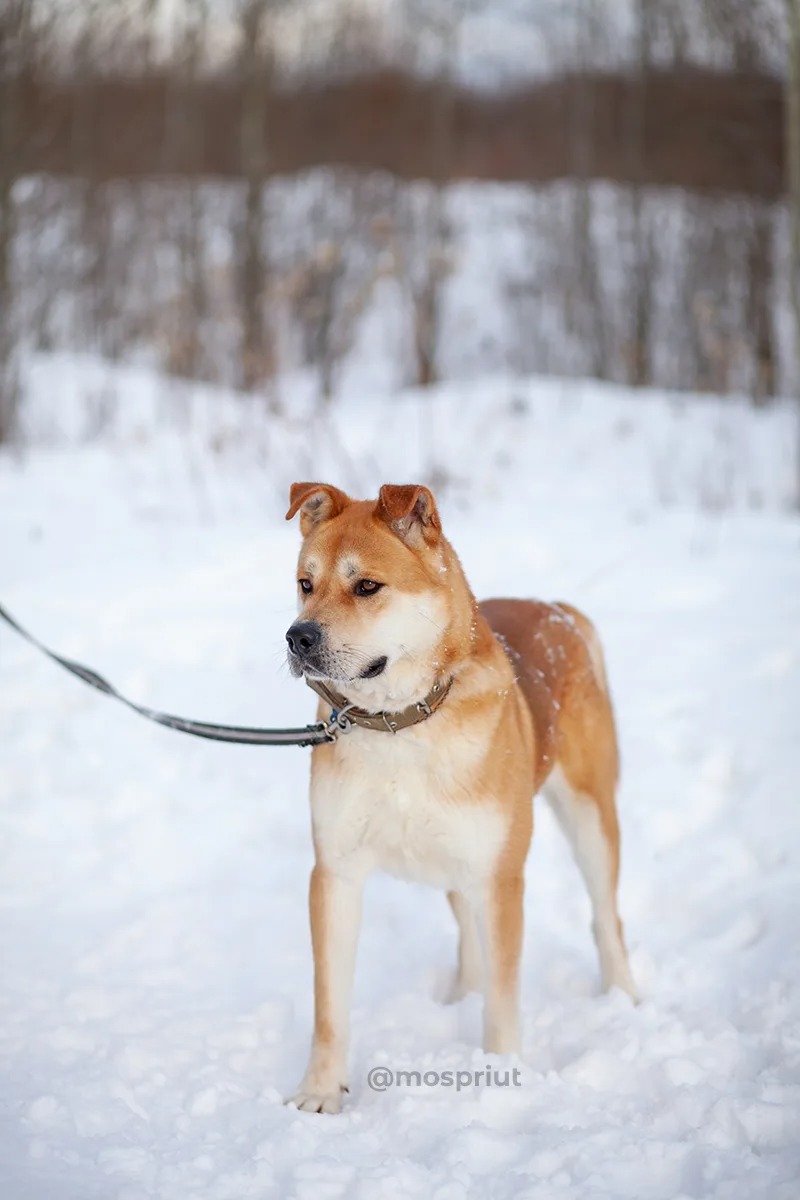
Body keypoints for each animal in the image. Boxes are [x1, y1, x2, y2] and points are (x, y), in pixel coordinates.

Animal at [284, 480, 633, 1113]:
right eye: (305, 583)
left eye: (366, 586)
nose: (297, 637)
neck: (399, 723)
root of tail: (555, 608)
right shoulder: (336, 874)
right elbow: (330, 1003)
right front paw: (320, 1091)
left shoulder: (501, 876)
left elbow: (503, 997)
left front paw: (499, 1081)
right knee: (468, 930)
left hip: (589, 814)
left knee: (605, 918)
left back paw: (625, 997)